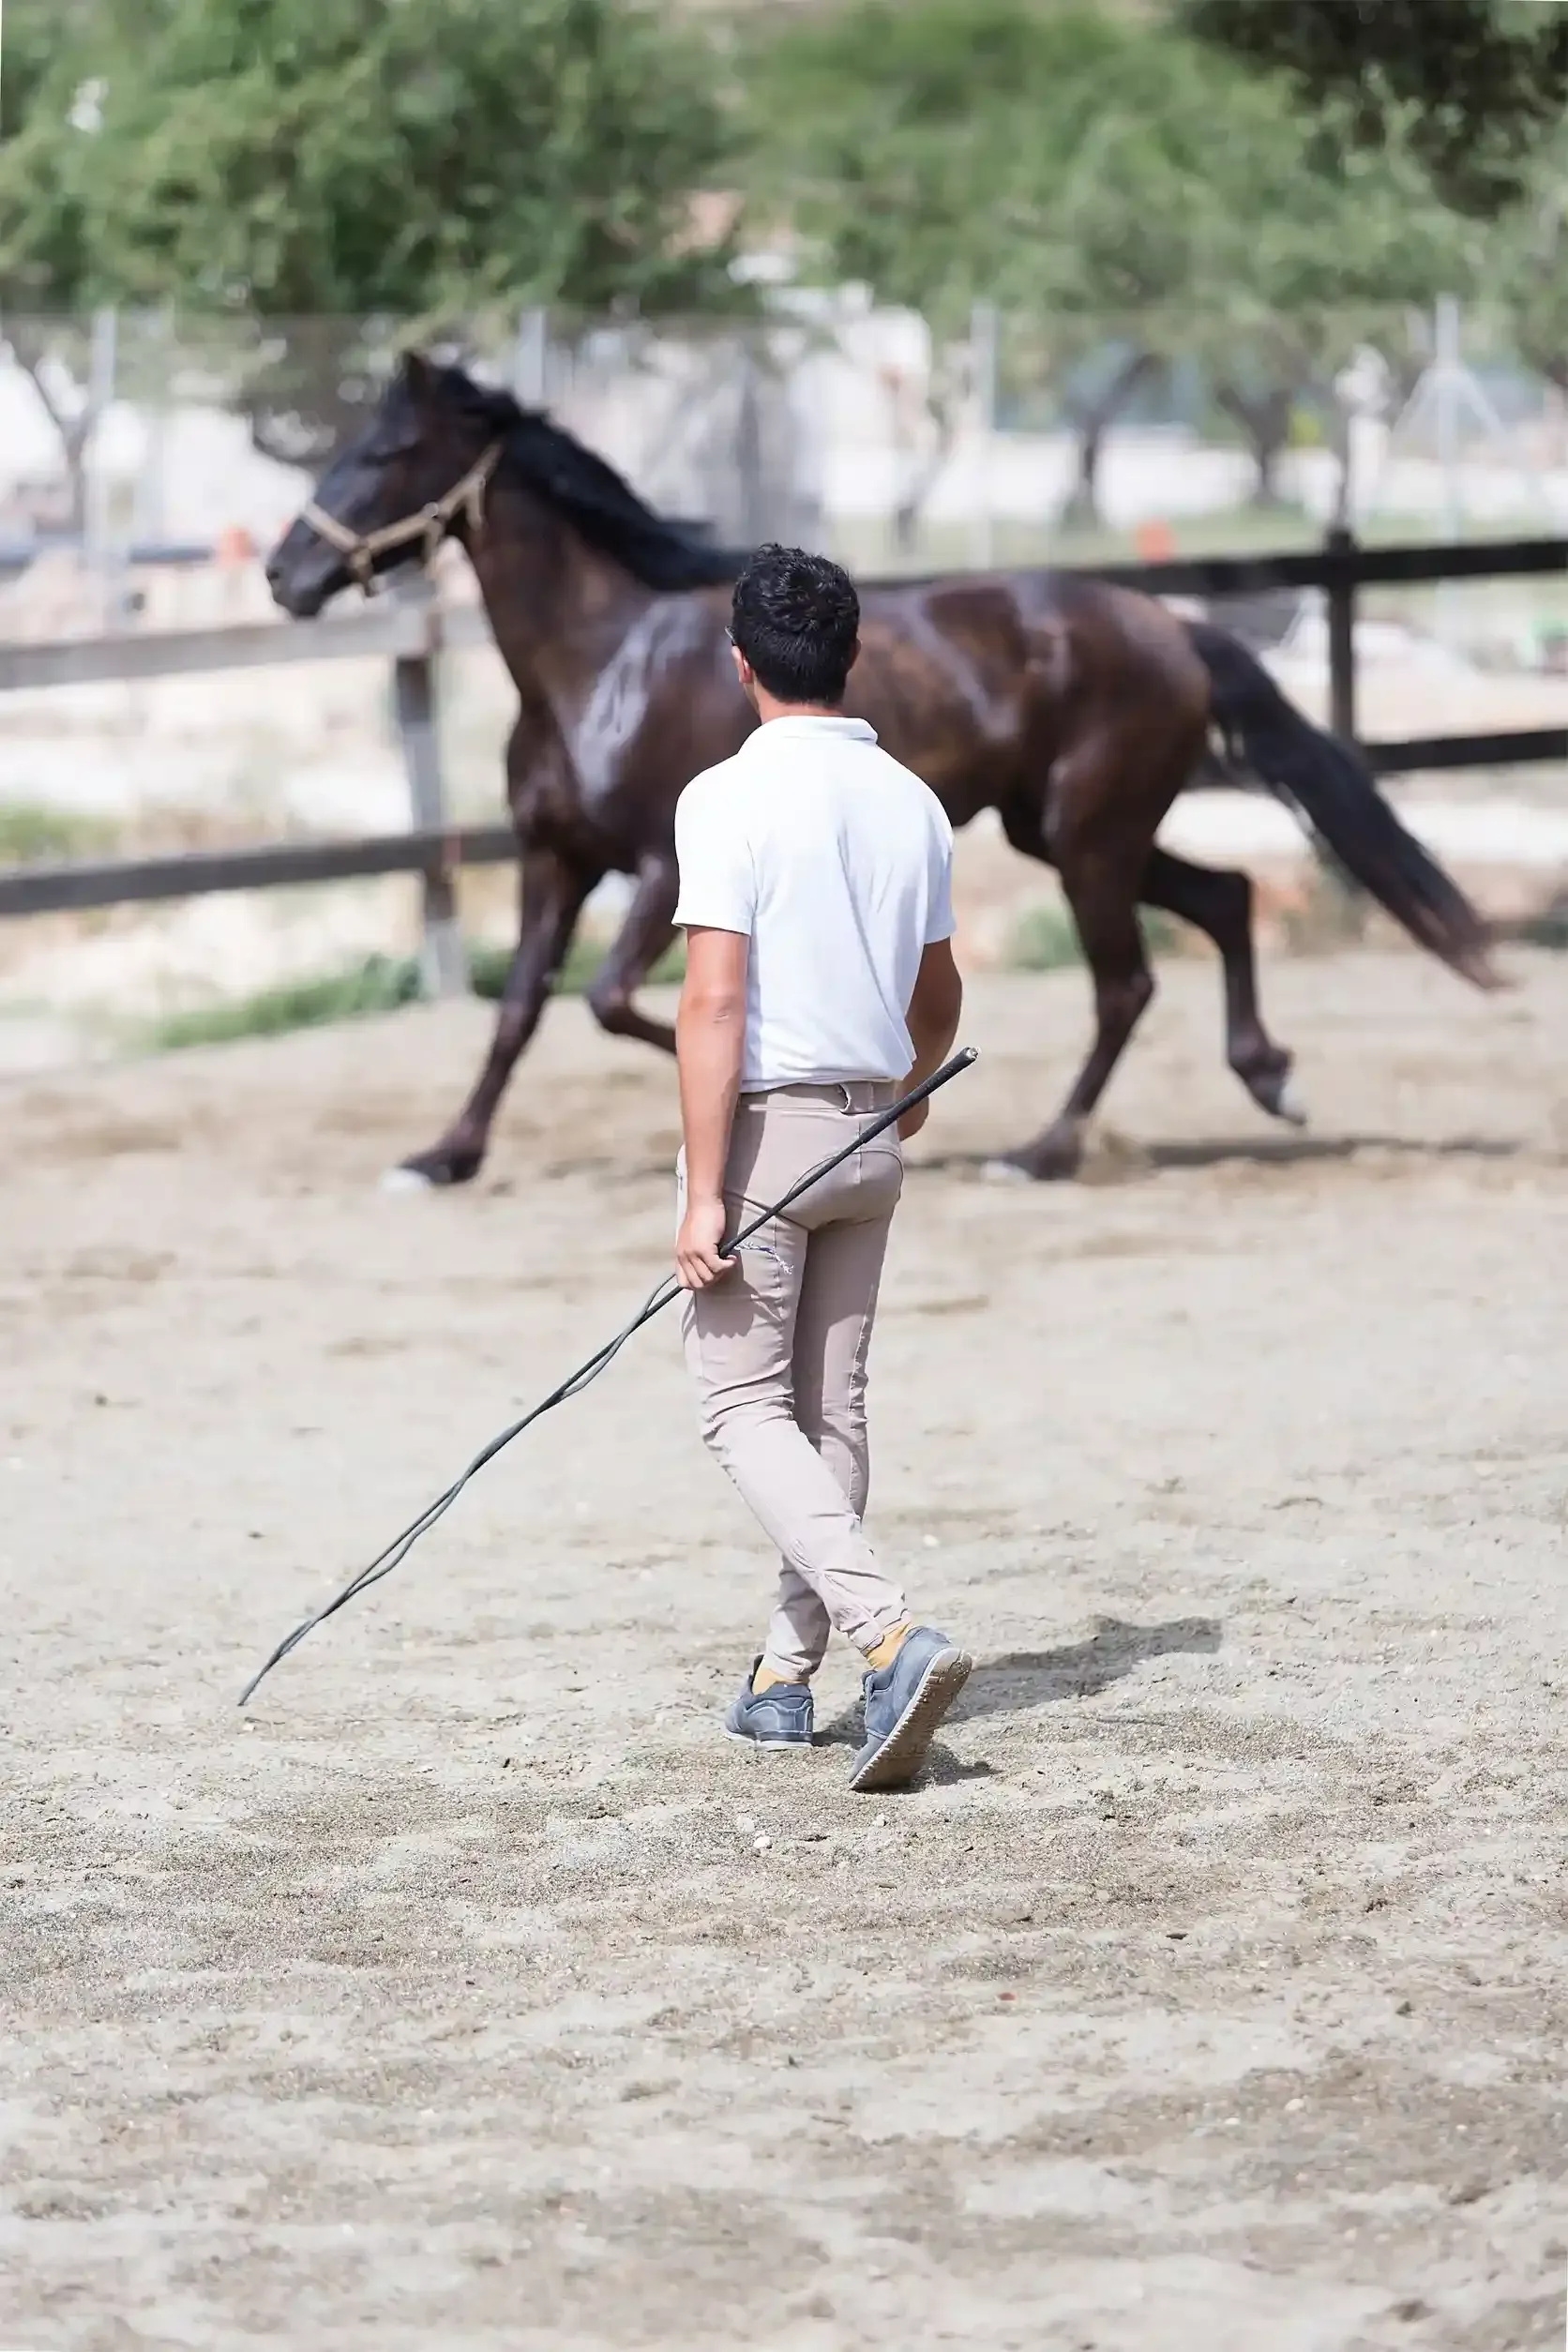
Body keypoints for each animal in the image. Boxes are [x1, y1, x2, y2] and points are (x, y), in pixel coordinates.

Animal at [266, 354, 1498, 1184]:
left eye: (384, 454)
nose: (284, 574)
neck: (602, 661)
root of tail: (1170, 628)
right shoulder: (554, 862)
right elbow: (519, 1010)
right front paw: (442, 1157)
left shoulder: (663, 870)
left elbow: (612, 1003)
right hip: (1068, 832)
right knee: (1228, 900)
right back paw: (1271, 1081)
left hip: (1089, 838)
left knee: (1128, 981)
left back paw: (1041, 1151)